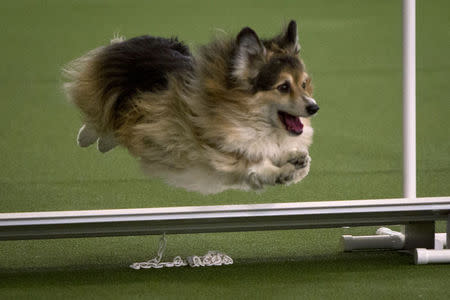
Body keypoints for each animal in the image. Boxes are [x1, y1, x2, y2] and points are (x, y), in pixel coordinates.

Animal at [64, 21, 320, 195]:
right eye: (283, 87)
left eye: (303, 84)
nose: (314, 107)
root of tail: (133, 41)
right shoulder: (197, 149)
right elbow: (245, 163)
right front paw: (282, 171)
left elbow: (263, 154)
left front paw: (295, 158)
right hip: (107, 96)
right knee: (99, 118)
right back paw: (86, 137)